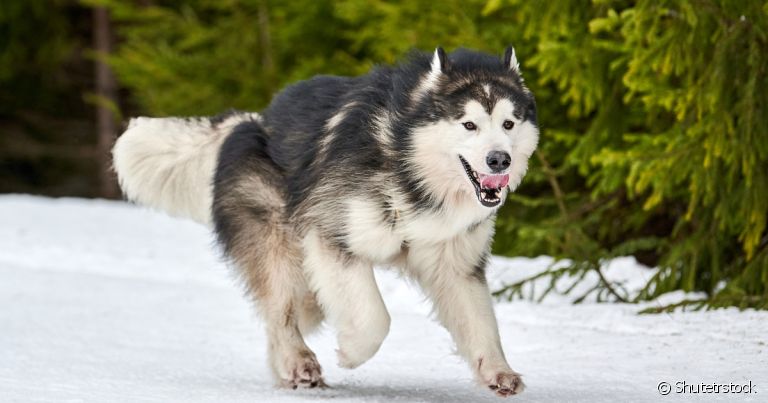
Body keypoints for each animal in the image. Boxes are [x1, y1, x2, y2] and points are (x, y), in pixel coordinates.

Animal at [112, 46, 539, 397]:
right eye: (468, 125)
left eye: (508, 124)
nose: (499, 160)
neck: (405, 162)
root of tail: (251, 120)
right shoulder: (332, 236)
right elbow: (374, 318)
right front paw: (351, 353)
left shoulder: (455, 262)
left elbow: (480, 323)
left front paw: (497, 371)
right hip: (279, 242)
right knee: (281, 310)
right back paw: (297, 361)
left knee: (289, 311)